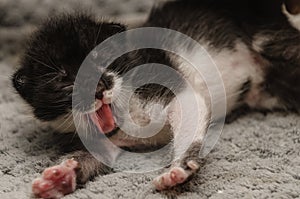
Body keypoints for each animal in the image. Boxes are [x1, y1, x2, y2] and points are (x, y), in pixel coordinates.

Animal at [11, 0, 300, 198]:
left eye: (103, 61)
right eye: (63, 80)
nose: (99, 88)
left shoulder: (170, 87)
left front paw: (180, 169)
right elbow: (97, 155)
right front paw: (60, 177)